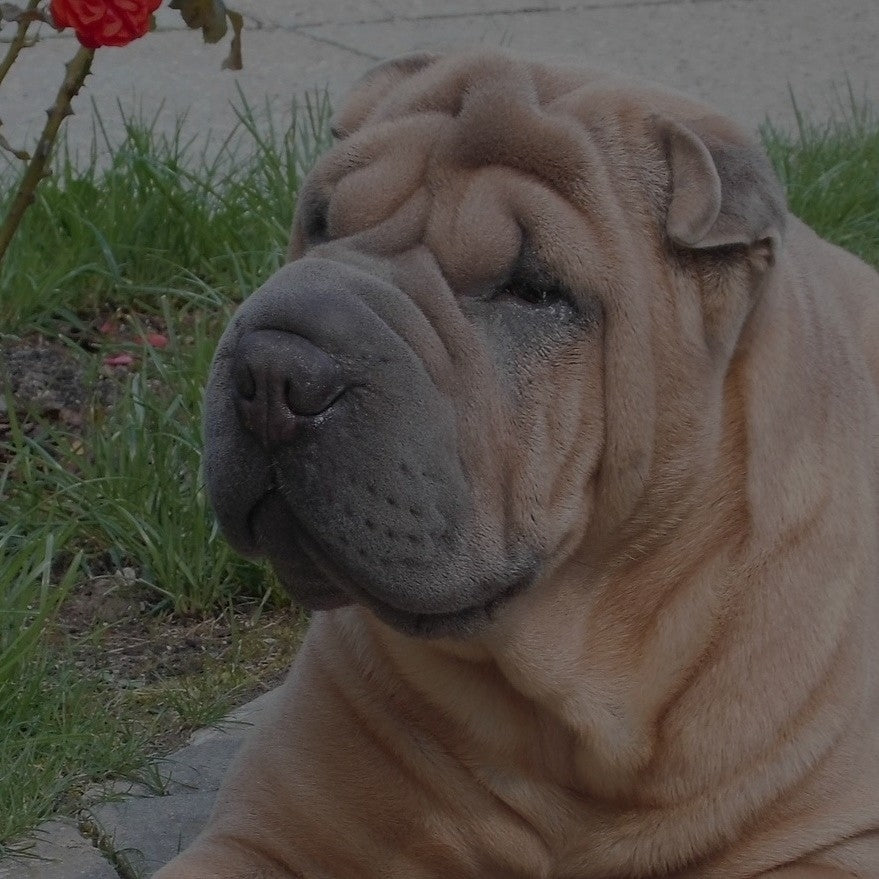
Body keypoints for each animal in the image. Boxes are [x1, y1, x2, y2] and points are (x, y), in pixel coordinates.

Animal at [158, 53, 879, 879]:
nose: (273, 371)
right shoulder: (269, 830)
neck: (561, 698)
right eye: (320, 221)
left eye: (534, 290)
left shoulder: (827, 846)